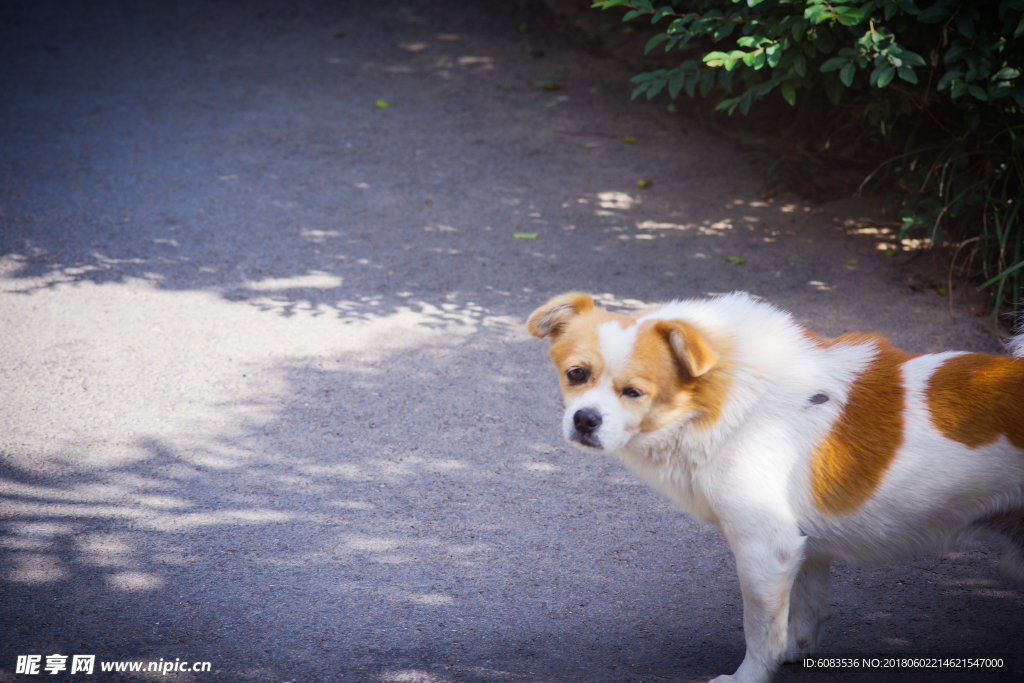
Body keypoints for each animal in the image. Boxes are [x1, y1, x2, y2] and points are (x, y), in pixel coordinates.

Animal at [528, 292, 1024, 683]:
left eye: (633, 391)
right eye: (576, 374)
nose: (585, 420)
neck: (728, 395)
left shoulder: (765, 549)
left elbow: (761, 628)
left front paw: (748, 677)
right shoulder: (805, 548)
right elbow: (803, 615)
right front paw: (793, 654)